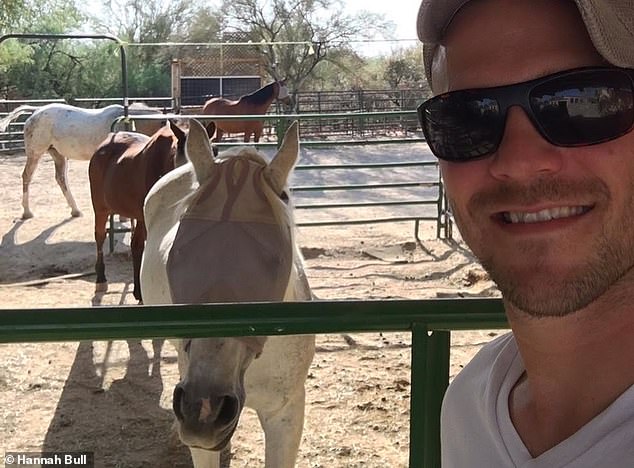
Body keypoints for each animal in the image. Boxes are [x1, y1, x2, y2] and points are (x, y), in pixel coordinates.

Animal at [0, 101, 165, 218]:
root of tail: (35, 112)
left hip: (58, 155)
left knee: (61, 178)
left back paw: (75, 210)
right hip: (35, 154)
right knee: (27, 176)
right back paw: (27, 212)